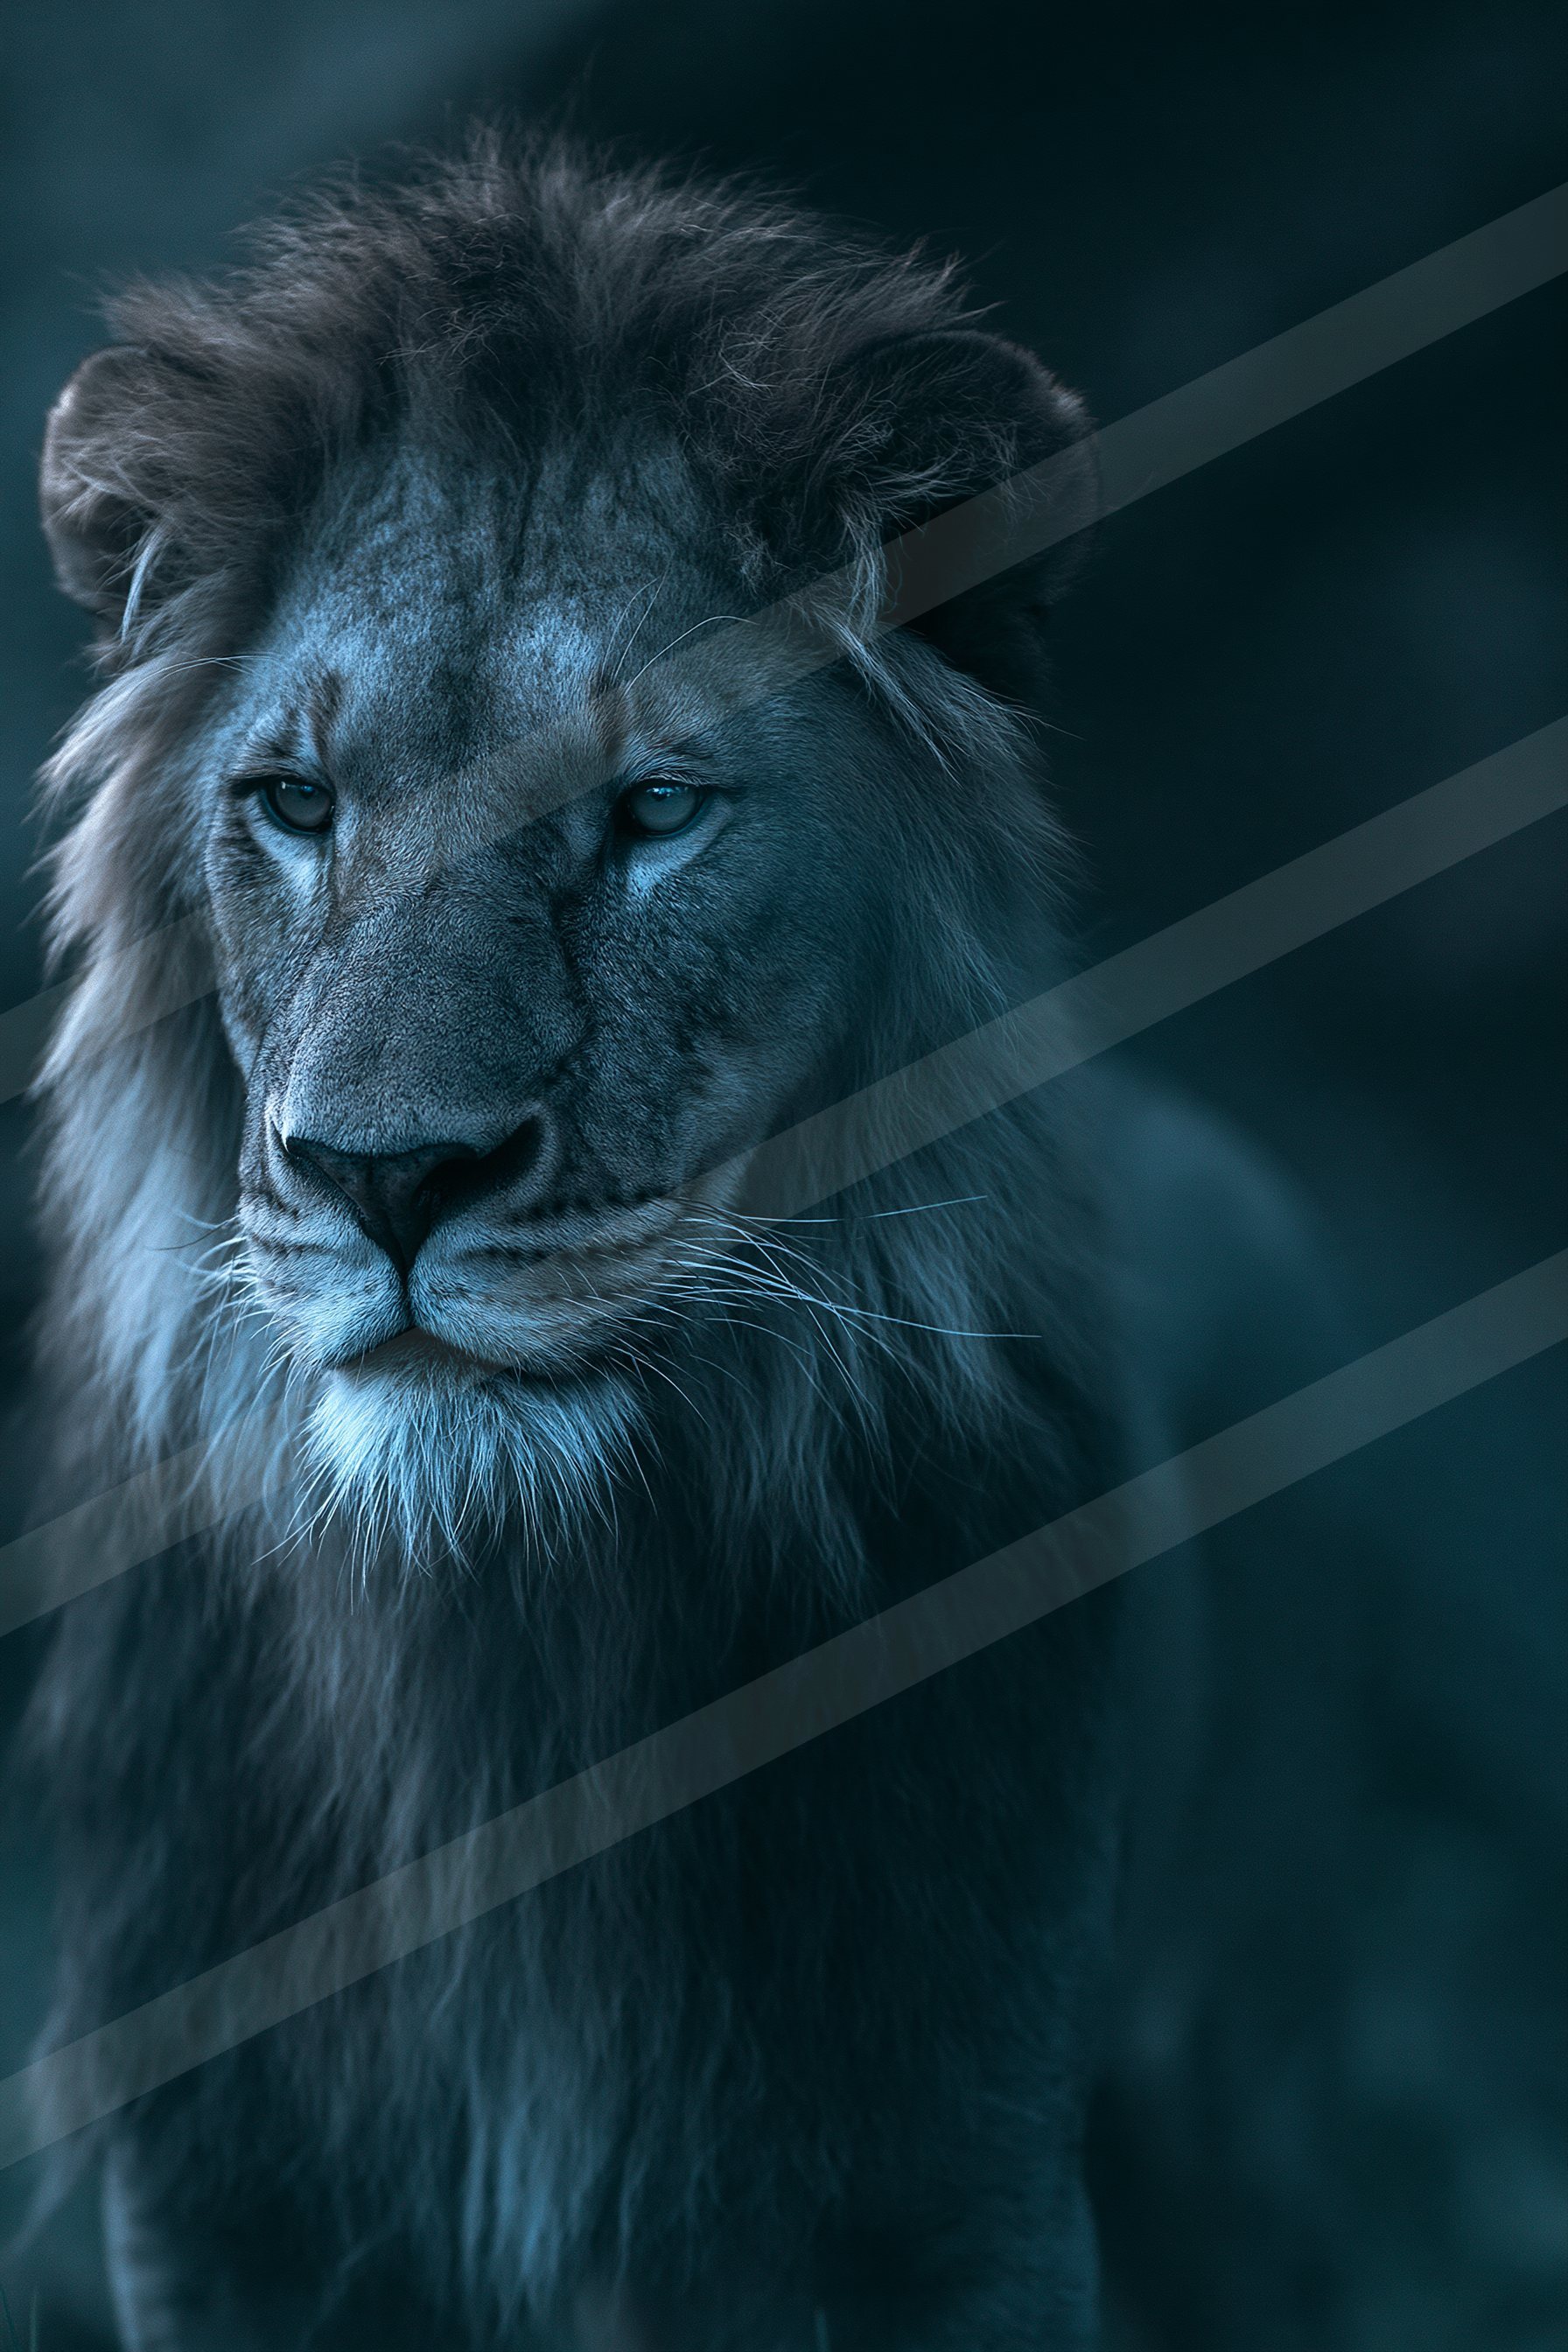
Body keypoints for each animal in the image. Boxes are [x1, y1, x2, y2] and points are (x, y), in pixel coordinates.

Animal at [26, 131, 1337, 2349]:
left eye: (652, 812)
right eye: (295, 802)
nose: (389, 1175)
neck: (503, 1648)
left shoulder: (937, 2183)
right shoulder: (223, 2208)